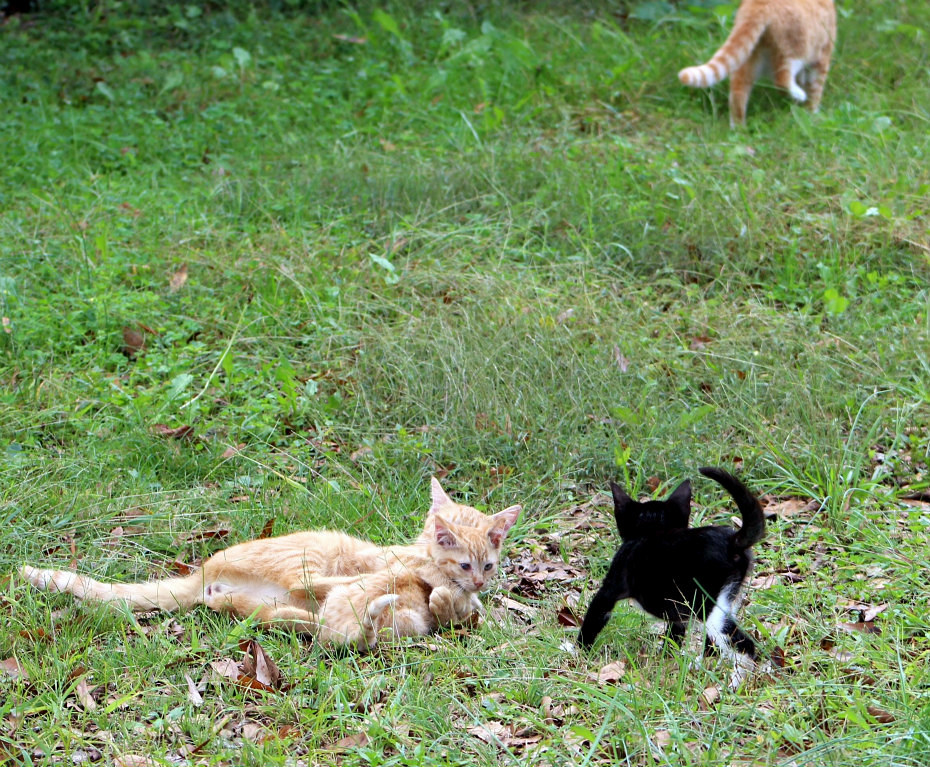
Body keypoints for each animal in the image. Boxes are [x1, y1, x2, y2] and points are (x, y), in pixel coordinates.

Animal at [20, 480, 520, 648]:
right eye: (464, 563)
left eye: (488, 566)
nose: (478, 584)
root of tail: (201, 574)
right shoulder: (403, 561)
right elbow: (427, 582)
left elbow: (452, 610)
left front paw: (467, 606)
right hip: (313, 552)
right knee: (317, 586)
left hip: (255, 609)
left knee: (316, 625)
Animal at [580, 468, 760, 684]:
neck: (652, 530)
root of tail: (732, 541)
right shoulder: (678, 610)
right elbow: (674, 634)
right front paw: (665, 658)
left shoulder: (611, 586)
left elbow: (593, 618)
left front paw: (579, 651)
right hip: (728, 599)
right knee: (715, 644)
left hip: (709, 607)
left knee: (744, 645)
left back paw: (736, 682)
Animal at [676, 0, 836, 126]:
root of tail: (758, 4)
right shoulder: (822, 55)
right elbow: (815, 89)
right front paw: (812, 113)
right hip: (794, 50)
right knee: (781, 80)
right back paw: (798, 93)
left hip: (749, 57)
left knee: (738, 92)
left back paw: (738, 129)